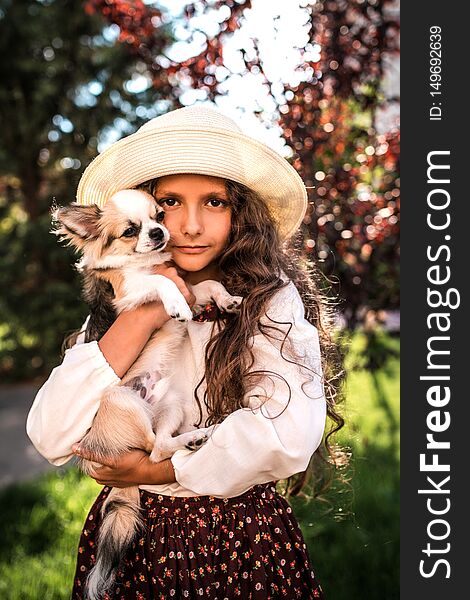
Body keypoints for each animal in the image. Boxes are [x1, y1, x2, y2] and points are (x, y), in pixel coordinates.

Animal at [54, 191, 242, 600]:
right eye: (130, 231)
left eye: (160, 215)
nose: (158, 233)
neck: (143, 261)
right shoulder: (130, 296)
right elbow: (161, 282)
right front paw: (174, 304)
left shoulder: (192, 287)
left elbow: (205, 284)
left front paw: (227, 298)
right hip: (125, 402)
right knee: (155, 450)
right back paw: (195, 439)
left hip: (171, 406)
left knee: (162, 443)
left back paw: (196, 437)